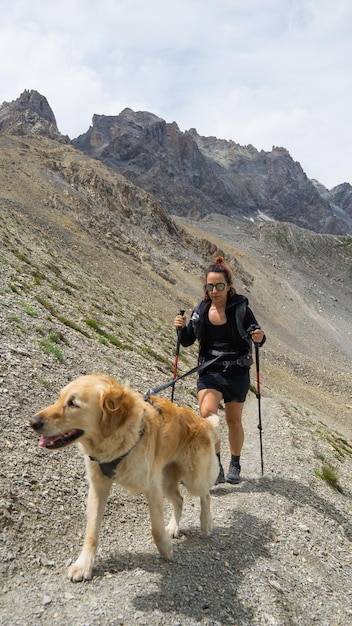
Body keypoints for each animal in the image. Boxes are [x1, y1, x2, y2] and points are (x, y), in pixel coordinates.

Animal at [31, 370, 221, 580]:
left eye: (73, 403)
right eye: (59, 398)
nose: (33, 422)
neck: (119, 441)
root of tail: (202, 421)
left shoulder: (151, 487)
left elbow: (156, 528)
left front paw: (165, 549)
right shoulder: (98, 487)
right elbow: (91, 532)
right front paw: (84, 565)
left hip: (192, 477)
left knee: (206, 495)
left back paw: (206, 523)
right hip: (166, 481)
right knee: (180, 499)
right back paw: (173, 527)